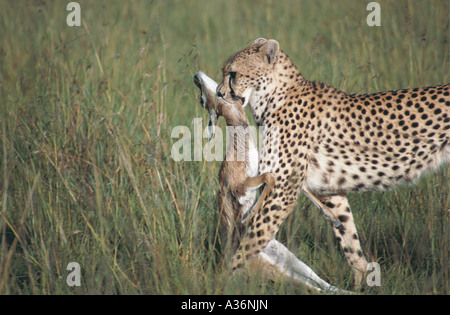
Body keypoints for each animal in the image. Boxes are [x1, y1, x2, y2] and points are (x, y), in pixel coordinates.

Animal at [216, 37, 448, 288]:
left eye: (233, 74)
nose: (218, 93)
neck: (272, 98)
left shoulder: (282, 191)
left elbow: (251, 241)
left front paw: (224, 280)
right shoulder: (329, 189)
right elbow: (349, 239)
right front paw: (359, 283)